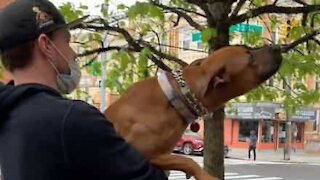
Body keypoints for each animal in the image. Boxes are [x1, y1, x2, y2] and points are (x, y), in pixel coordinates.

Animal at [104, 44, 282, 179]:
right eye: (250, 57)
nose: (277, 47)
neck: (178, 96)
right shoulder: (140, 151)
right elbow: (187, 160)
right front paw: (206, 176)